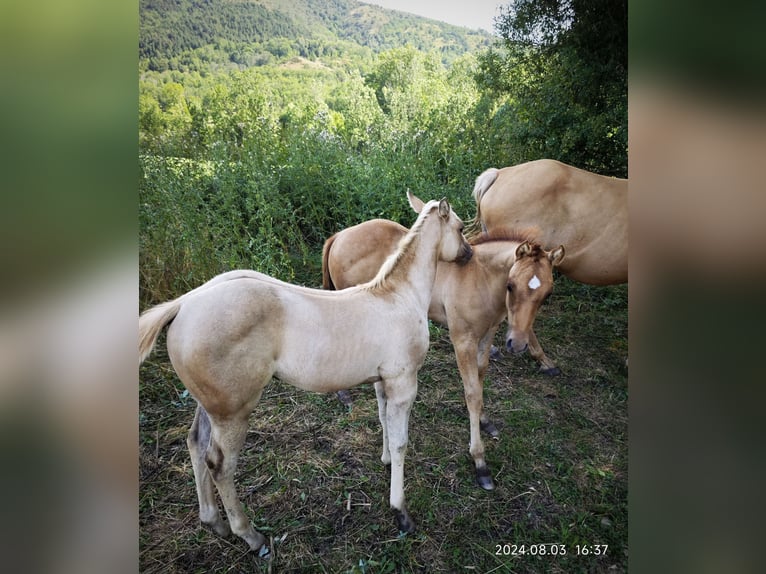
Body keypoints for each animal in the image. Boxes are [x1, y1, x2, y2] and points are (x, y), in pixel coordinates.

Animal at [140, 194, 474, 552]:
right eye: (459, 227)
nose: (469, 253)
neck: (398, 296)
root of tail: (183, 305)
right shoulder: (403, 382)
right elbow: (401, 443)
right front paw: (400, 511)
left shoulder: (383, 381)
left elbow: (383, 418)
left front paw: (384, 460)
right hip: (233, 412)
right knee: (219, 464)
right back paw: (251, 535)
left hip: (211, 405)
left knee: (196, 443)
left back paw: (214, 522)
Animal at [320, 219, 568, 490]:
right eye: (511, 286)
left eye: (547, 294)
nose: (518, 344)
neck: (481, 277)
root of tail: (339, 236)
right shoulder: (462, 340)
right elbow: (472, 393)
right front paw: (480, 462)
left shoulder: (487, 334)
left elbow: (480, 378)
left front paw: (486, 421)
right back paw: (343, 394)